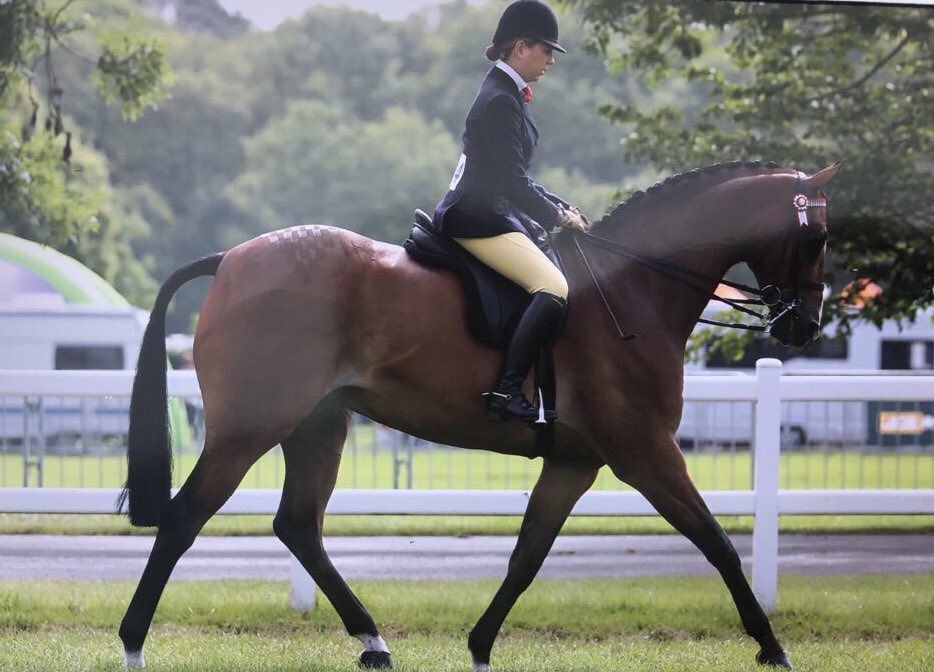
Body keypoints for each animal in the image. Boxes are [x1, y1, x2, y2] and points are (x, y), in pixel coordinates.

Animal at [117, 160, 840, 670]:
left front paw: (480, 646)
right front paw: (773, 647)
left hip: (317, 425)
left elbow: (527, 555)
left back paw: (374, 642)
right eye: (817, 236)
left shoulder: (575, 462)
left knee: (298, 526)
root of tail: (231, 259)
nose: (804, 326)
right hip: (250, 428)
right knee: (184, 518)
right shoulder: (646, 452)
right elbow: (716, 541)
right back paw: (132, 645)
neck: (634, 290)